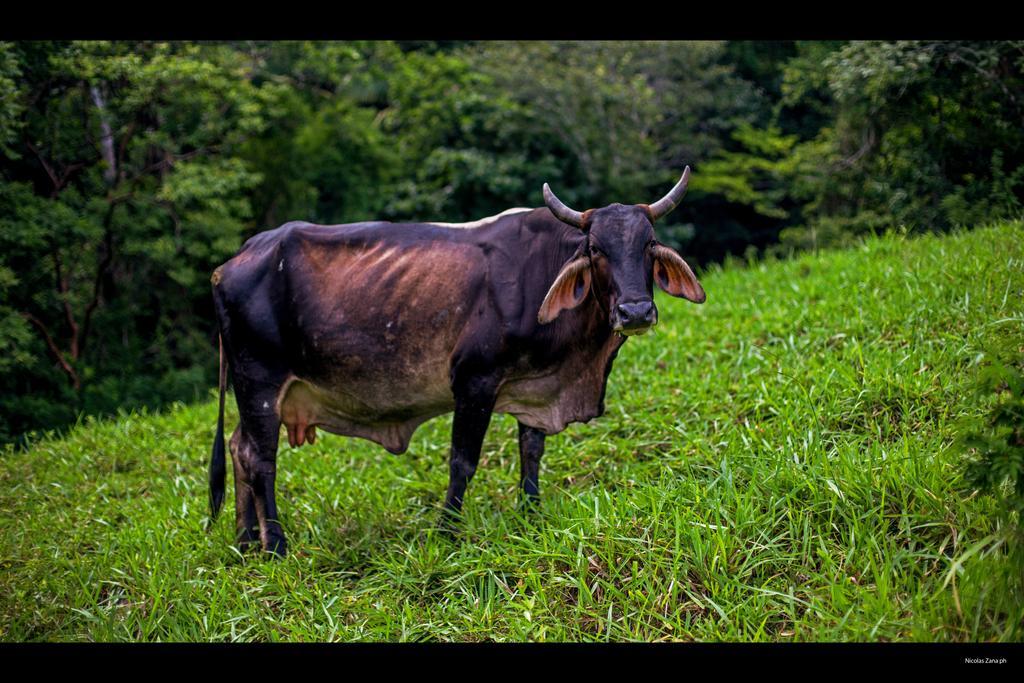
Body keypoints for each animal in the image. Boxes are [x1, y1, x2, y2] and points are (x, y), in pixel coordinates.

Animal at [207, 165, 704, 557]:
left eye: (649, 243)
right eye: (596, 248)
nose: (635, 311)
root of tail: (234, 260)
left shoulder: (534, 388)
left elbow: (531, 452)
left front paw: (531, 514)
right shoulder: (474, 381)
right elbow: (463, 461)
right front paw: (447, 531)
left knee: (238, 447)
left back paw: (246, 541)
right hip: (259, 381)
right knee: (260, 459)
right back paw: (276, 546)